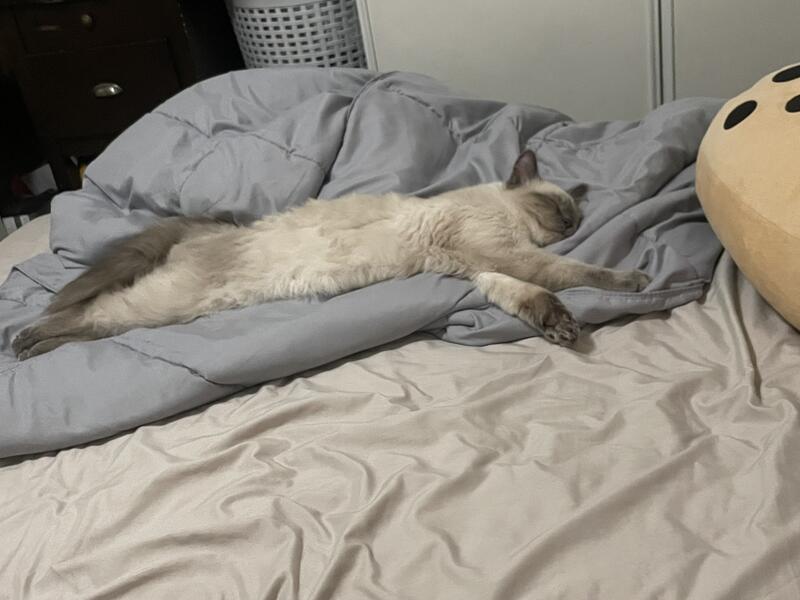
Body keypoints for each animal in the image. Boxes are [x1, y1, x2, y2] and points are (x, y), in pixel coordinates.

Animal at [12, 150, 650, 360]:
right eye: (553, 208)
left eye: (573, 216)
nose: (568, 225)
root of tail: (210, 226)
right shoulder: (501, 253)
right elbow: (575, 273)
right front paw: (639, 280)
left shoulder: (486, 269)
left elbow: (532, 296)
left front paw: (560, 329)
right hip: (166, 305)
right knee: (90, 314)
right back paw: (24, 341)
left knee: (93, 323)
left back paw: (29, 347)